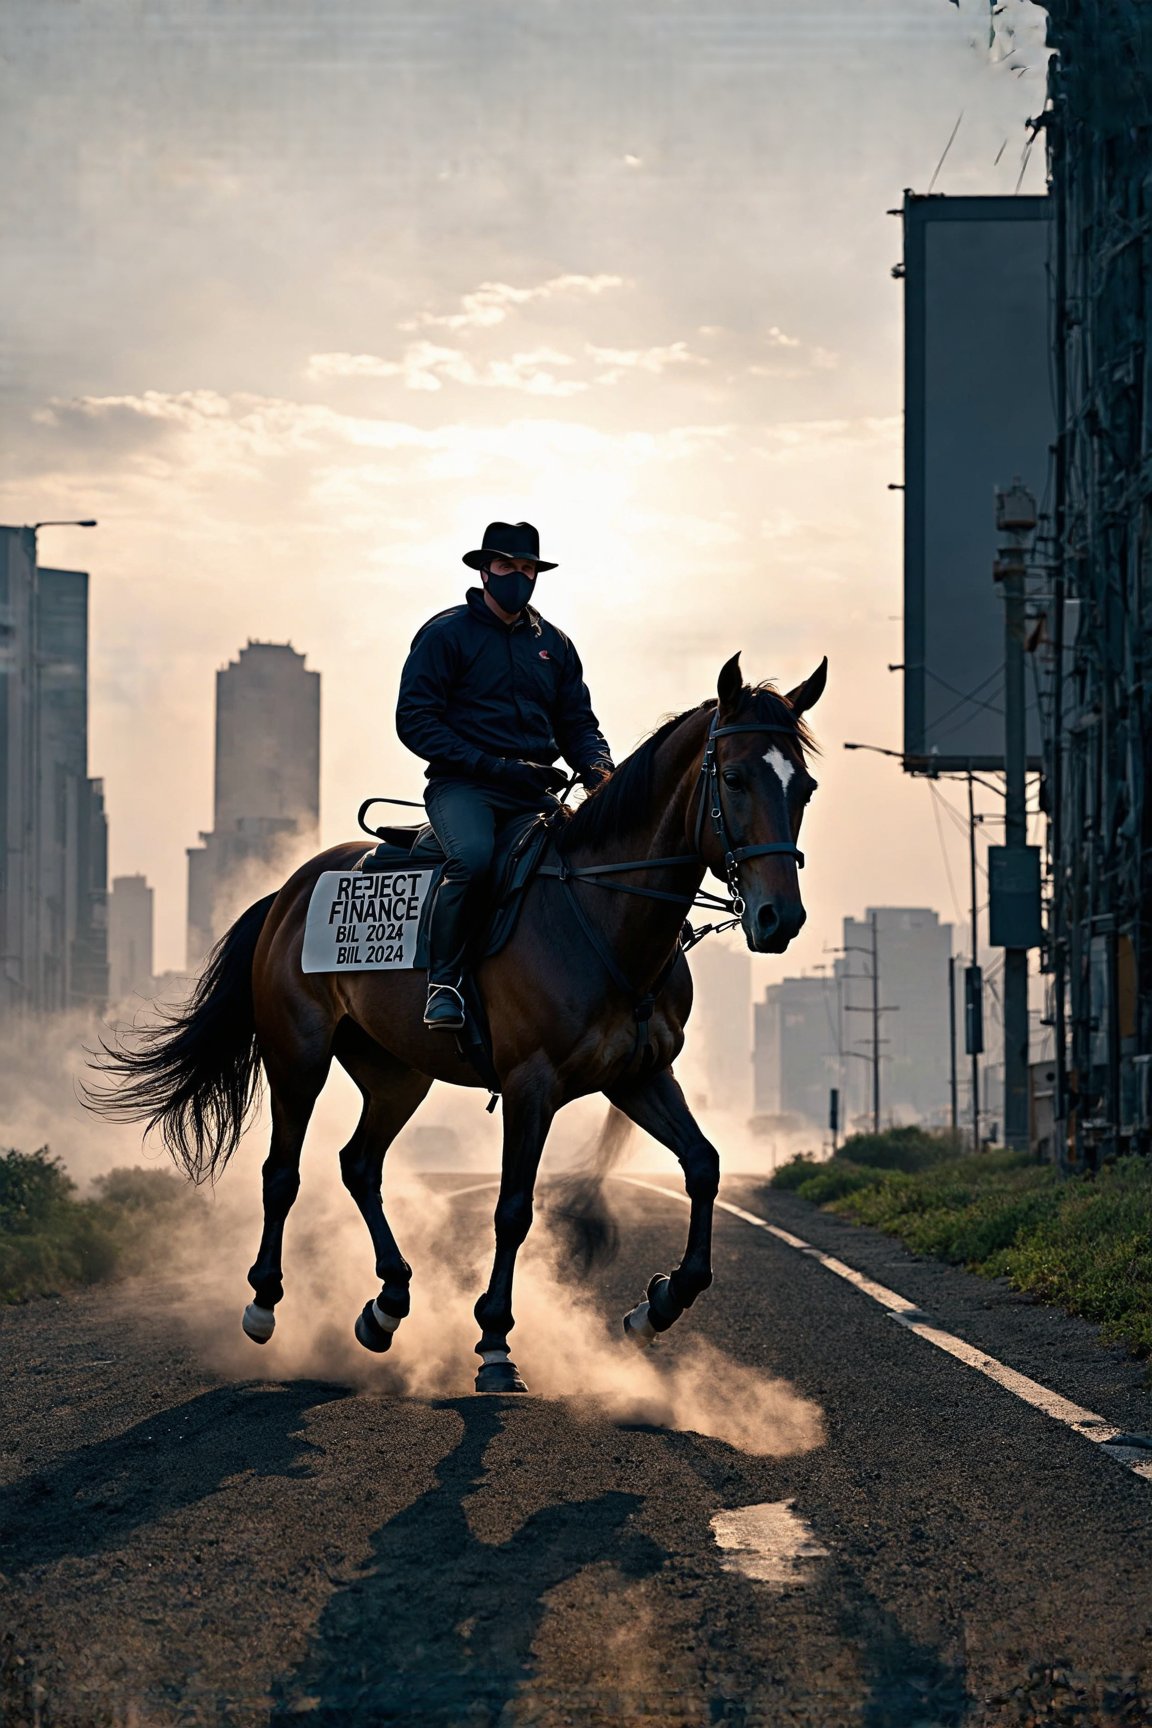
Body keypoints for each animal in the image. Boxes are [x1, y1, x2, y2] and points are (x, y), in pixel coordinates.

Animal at [94, 649, 825, 1389]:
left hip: (397, 1074)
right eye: (734, 778)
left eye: (805, 788)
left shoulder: (640, 1076)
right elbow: (513, 1210)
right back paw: (265, 1303)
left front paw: (659, 1304)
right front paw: (496, 1341)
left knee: (359, 1164)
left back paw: (387, 1303)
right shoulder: (532, 1086)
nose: (780, 918)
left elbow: (703, 1165)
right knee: (283, 1172)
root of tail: (287, 893)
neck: (601, 913)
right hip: (298, 1057)